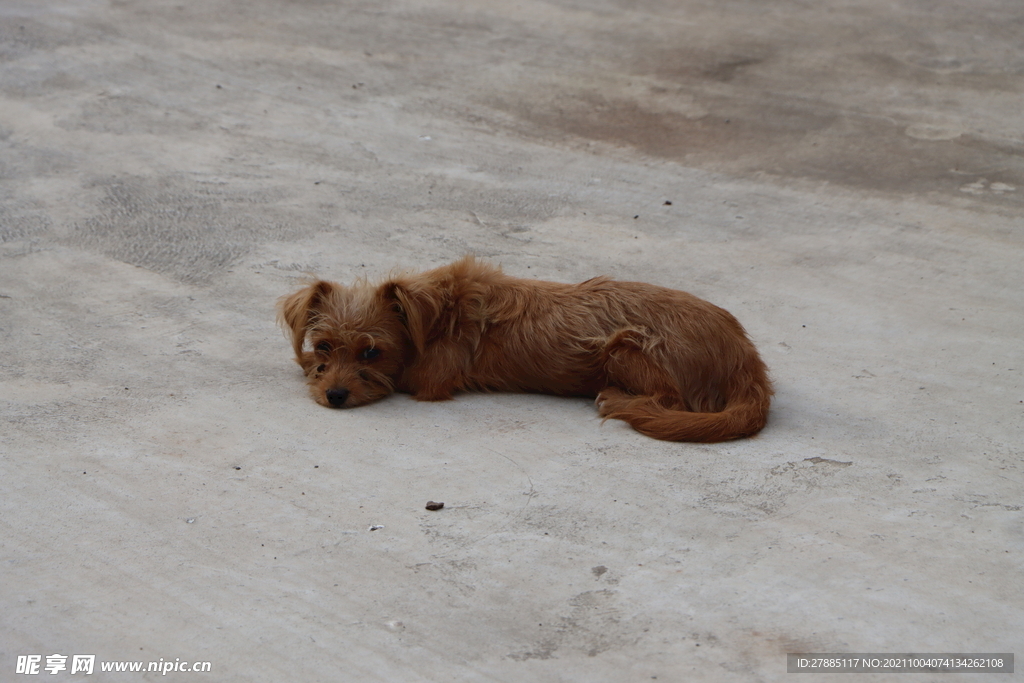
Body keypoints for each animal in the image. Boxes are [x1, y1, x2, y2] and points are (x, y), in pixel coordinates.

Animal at [276, 255, 770, 444]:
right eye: (324, 344)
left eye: (371, 353)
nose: (334, 396)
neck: (437, 316)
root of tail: (747, 361)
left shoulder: (429, 378)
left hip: (625, 348)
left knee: (666, 399)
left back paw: (616, 398)